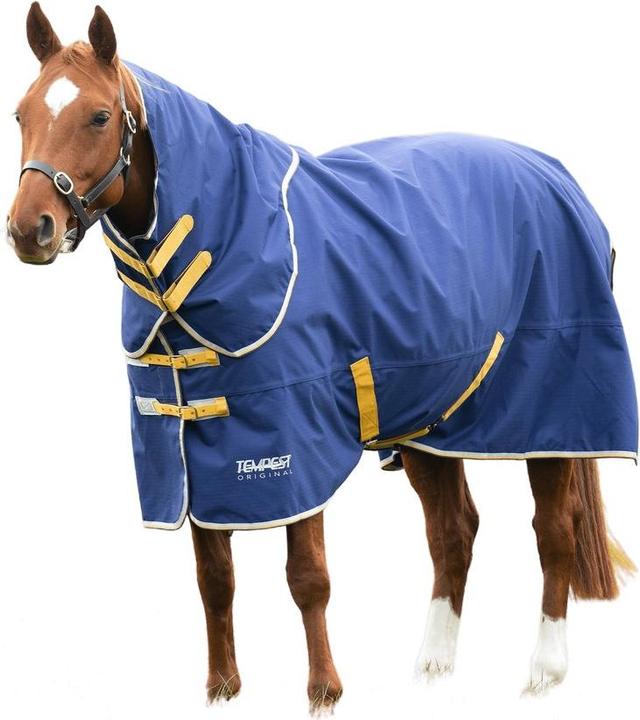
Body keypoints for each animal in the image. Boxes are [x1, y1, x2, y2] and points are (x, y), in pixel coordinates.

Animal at [8, 3, 637, 710]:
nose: (30, 229)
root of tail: (557, 175)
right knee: (454, 533)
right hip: (433, 420)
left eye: (97, 116)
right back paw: (434, 666)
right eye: (22, 114)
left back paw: (544, 670)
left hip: (550, 413)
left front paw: (323, 691)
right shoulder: (193, 446)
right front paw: (222, 689)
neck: (220, 246)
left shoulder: (292, 444)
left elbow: (307, 575)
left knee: (554, 529)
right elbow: (214, 577)